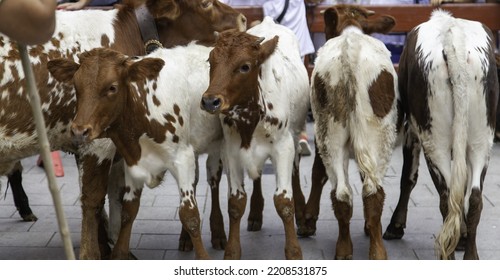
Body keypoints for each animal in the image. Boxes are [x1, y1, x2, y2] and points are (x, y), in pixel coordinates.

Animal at [0, 0, 245, 260]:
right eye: (206, 4)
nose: (242, 19)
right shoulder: (98, 142)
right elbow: (93, 198)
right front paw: (92, 253)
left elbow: (116, 195)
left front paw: (114, 246)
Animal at [199, 17, 308, 260]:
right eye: (210, 61)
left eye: (245, 66)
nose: (210, 101)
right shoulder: (231, 151)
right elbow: (236, 202)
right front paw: (231, 251)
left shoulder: (283, 147)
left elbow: (284, 201)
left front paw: (294, 251)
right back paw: (255, 214)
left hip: (296, 134)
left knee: (296, 167)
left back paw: (303, 216)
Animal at [382, 9, 496, 260]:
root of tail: (452, 36)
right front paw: (462, 237)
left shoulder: (411, 131)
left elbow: (408, 178)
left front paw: (395, 226)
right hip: (482, 140)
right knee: (473, 198)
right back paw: (470, 254)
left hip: (435, 141)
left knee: (446, 199)